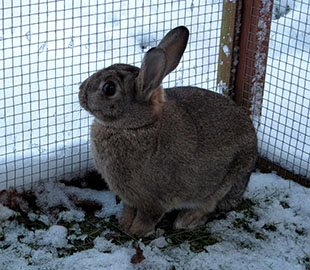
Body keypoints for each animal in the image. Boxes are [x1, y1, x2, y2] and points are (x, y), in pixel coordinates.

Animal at [78, 25, 258, 236]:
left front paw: (137, 231)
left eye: (109, 88)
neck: (137, 126)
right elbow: (129, 210)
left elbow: (148, 216)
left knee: (208, 206)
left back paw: (185, 221)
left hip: (226, 181)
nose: (80, 91)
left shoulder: (153, 200)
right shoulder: (130, 199)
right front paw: (124, 224)